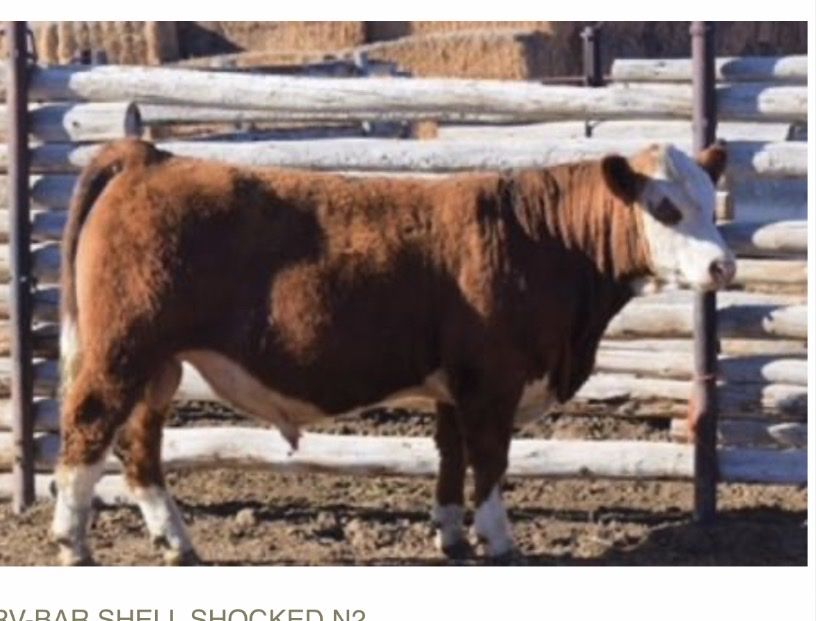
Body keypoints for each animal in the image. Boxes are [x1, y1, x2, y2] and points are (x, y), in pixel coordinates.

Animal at [51, 138, 735, 565]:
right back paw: (72, 542)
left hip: (159, 366)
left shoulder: (455, 385)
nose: (722, 266)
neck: (541, 239)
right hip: (121, 353)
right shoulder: (493, 381)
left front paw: (452, 537)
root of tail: (150, 156)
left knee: (140, 449)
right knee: (86, 431)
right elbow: (490, 461)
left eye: (711, 199)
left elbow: (450, 459)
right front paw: (499, 540)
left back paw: (177, 544)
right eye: (666, 207)